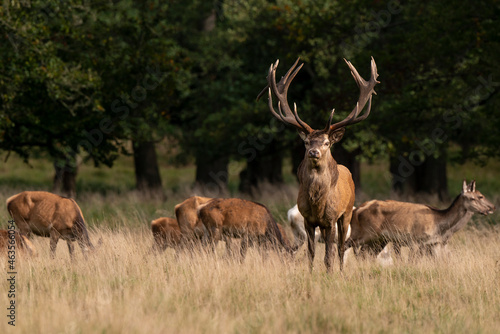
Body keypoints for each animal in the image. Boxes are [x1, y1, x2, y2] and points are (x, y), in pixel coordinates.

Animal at [262, 57, 378, 272]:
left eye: (326, 143)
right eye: (306, 142)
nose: (313, 152)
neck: (317, 202)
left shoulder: (331, 219)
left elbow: (329, 255)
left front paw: (330, 273)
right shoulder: (308, 220)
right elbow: (311, 254)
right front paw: (310, 273)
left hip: (346, 214)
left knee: (340, 248)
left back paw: (340, 271)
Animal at [346, 180, 494, 258]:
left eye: (482, 194)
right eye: (476, 197)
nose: (491, 207)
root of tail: (356, 210)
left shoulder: (433, 244)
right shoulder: (416, 241)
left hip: (379, 240)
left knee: (365, 254)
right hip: (366, 233)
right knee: (349, 245)